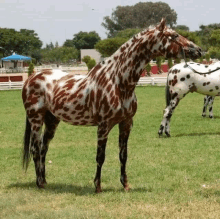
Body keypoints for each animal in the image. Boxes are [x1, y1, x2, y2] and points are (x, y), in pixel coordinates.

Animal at [21, 19, 201, 193]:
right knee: (35, 149)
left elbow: (123, 155)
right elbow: (100, 156)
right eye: (174, 35)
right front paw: (98, 186)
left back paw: (44, 181)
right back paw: (39, 183)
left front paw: (125, 185)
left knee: (44, 149)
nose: (198, 50)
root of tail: (31, 78)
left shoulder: (126, 123)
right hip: (36, 119)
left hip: (52, 120)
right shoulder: (103, 126)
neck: (117, 81)